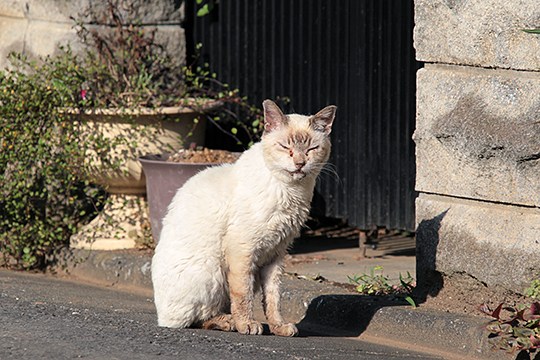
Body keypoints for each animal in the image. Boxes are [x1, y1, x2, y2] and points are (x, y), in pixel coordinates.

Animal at [152, 100, 336, 336]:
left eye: (312, 149)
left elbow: (273, 298)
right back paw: (228, 322)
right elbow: (242, 295)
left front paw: (278, 327)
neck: (292, 190)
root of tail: (161, 315)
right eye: (285, 147)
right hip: (212, 272)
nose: (300, 163)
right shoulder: (243, 250)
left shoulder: (276, 253)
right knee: (193, 319)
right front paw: (247, 325)